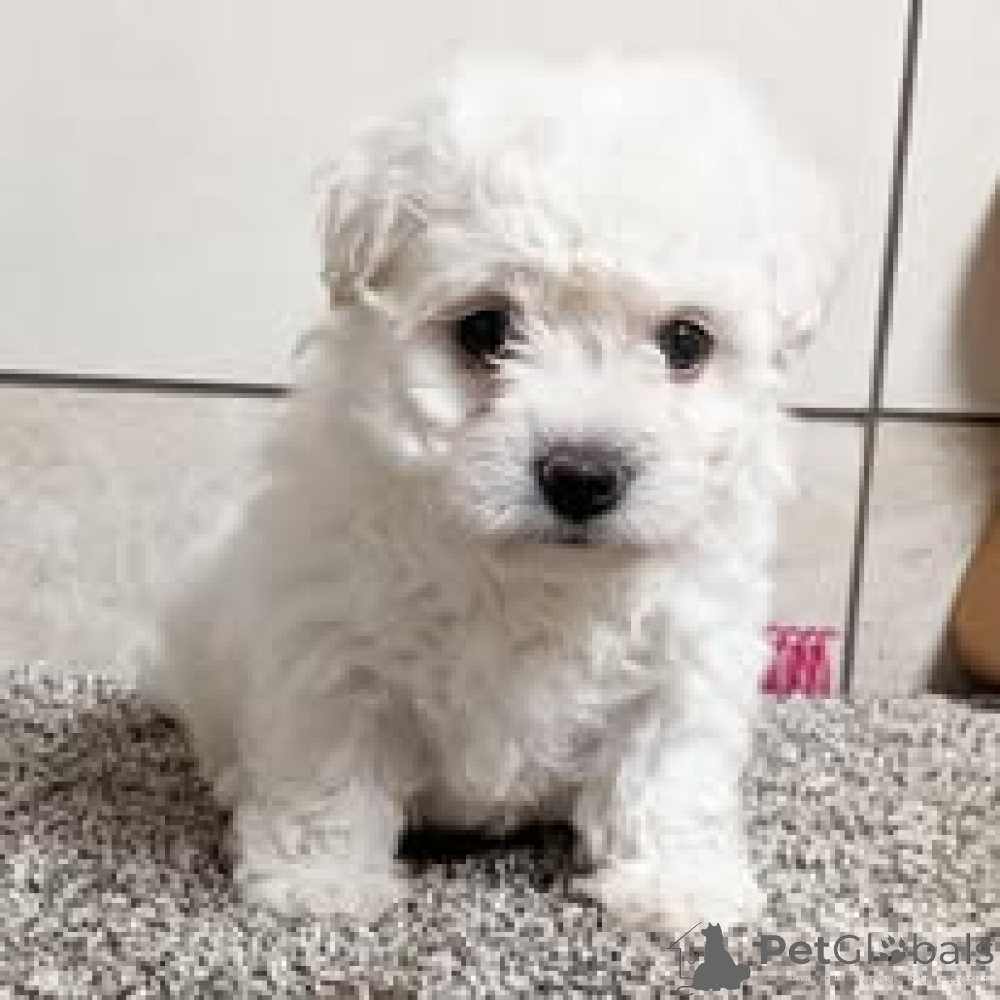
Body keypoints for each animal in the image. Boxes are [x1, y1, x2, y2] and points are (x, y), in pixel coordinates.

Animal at [140, 54, 840, 932]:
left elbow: (667, 772)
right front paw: (322, 882)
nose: (582, 475)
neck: (536, 573)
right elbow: (331, 760)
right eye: (485, 330)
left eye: (686, 342)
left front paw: (676, 885)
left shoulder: (687, 651)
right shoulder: (332, 634)